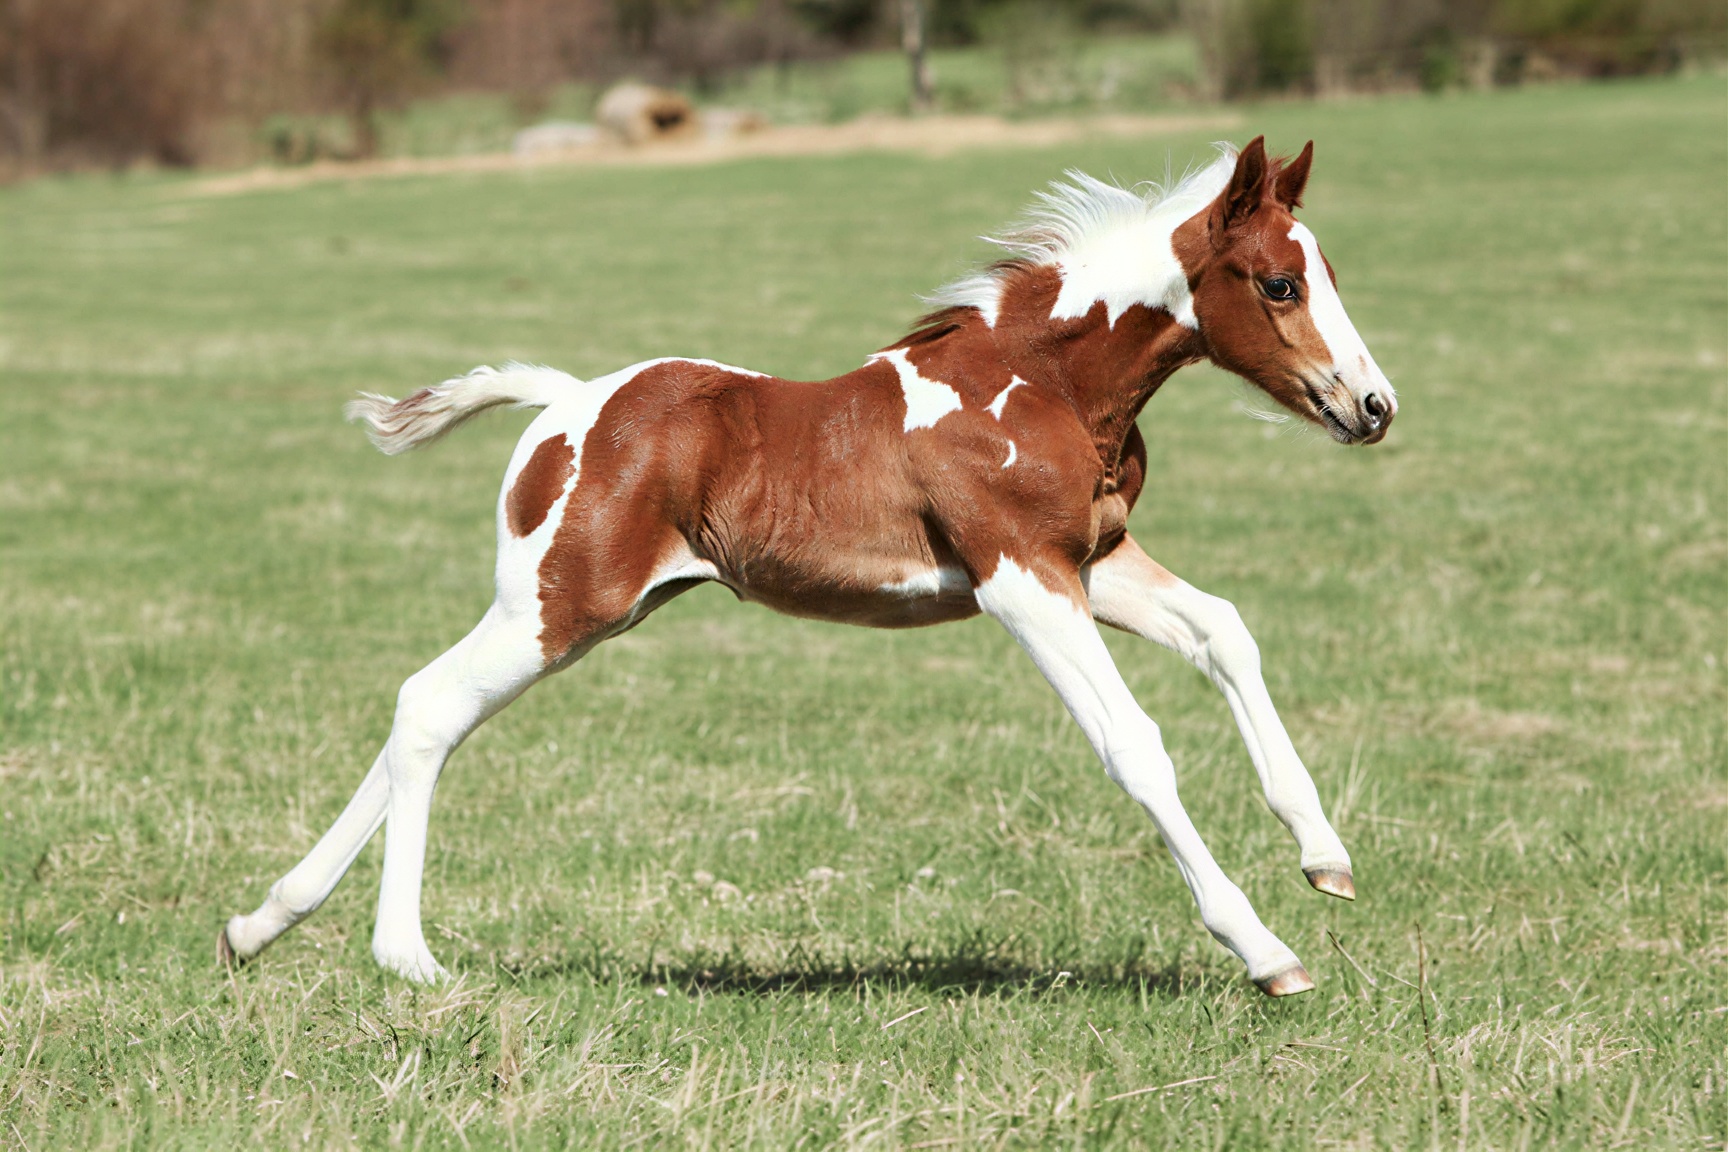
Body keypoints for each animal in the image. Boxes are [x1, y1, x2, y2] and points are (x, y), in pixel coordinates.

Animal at [220, 136, 1396, 997]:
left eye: (1331, 275)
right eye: (1279, 284)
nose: (1374, 407)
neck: (1043, 383)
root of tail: (566, 402)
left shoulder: (1093, 563)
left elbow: (1226, 631)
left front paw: (1325, 856)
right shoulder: (1021, 579)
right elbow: (1136, 746)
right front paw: (1266, 951)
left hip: (570, 610)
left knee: (426, 717)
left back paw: (257, 923)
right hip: (559, 606)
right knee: (427, 707)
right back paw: (404, 957)